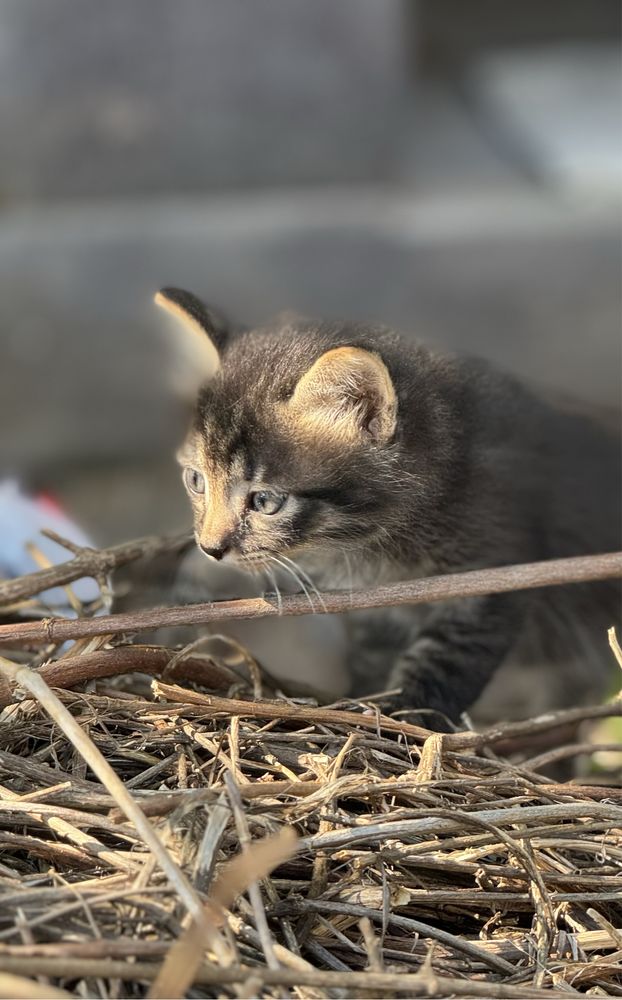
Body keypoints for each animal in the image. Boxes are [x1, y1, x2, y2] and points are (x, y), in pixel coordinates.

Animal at [156, 286, 622, 732]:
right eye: (196, 480)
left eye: (265, 501)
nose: (210, 548)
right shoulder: (378, 612)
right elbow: (372, 659)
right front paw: (361, 701)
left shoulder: (495, 574)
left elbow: (446, 661)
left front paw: (409, 720)